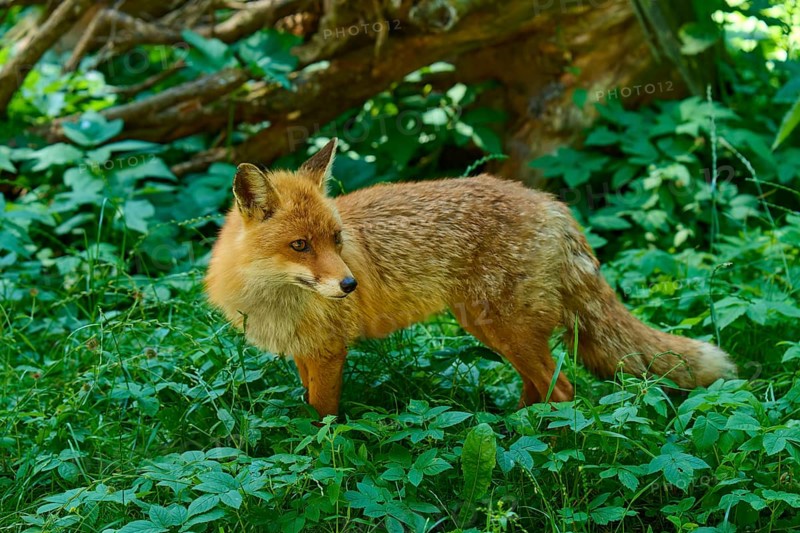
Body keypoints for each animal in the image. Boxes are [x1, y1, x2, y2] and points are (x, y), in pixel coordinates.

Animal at [205, 138, 737, 417]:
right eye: (300, 245)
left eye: (337, 240)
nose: (351, 286)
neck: (272, 297)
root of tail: (551, 203)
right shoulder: (305, 353)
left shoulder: (329, 353)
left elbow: (324, 416)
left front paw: (323, 456)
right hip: (497, 331)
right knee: (541, 386)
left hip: (502, 329)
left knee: (564, 390)